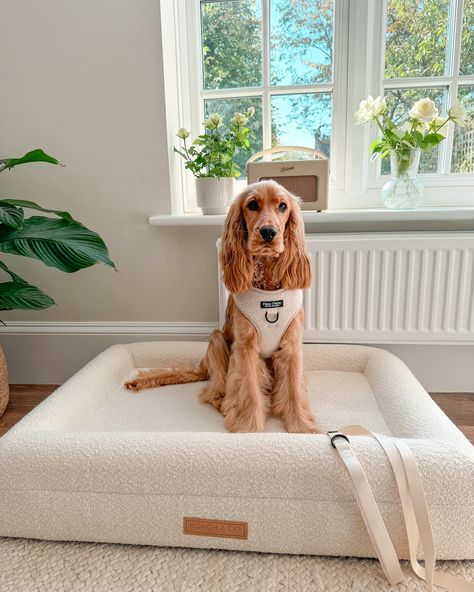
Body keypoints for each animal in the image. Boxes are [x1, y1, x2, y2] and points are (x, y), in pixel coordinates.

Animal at [126, 180, 318, 434]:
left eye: (283, 206)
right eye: (252, 204)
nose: (268, 232)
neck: (267, 290)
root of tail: (202, 366)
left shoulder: (291, 344)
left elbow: (294, 389)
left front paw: (301, 427)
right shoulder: (245, 347)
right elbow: (248, 389)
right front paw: (249, 426)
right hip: (216, 340)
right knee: (214, 392)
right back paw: (226, 406)